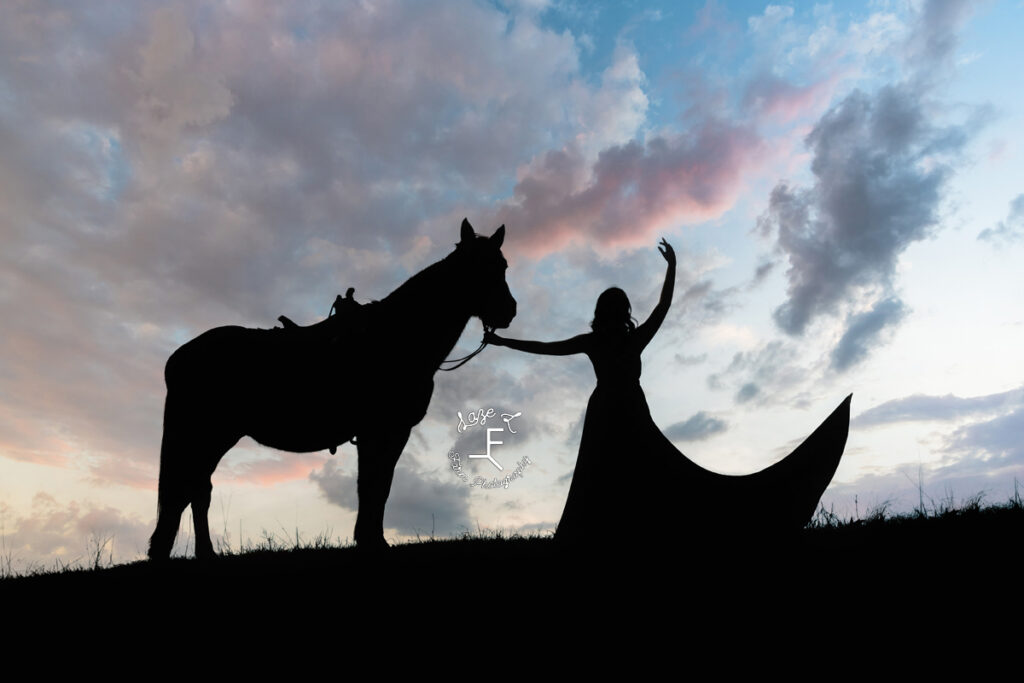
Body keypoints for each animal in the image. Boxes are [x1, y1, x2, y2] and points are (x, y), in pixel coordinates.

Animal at [148, 219, 516, 561]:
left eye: (503, 265)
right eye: (476, 265)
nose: (508, 311)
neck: (395, 337)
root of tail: (179, 357)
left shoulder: (388, 433)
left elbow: (377, 485)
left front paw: (370, 539)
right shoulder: (381, 431)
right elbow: (374, 485)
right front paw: (372, 541)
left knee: (197, 490)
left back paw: (202, 553)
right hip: (208, 435)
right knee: (190, 490)